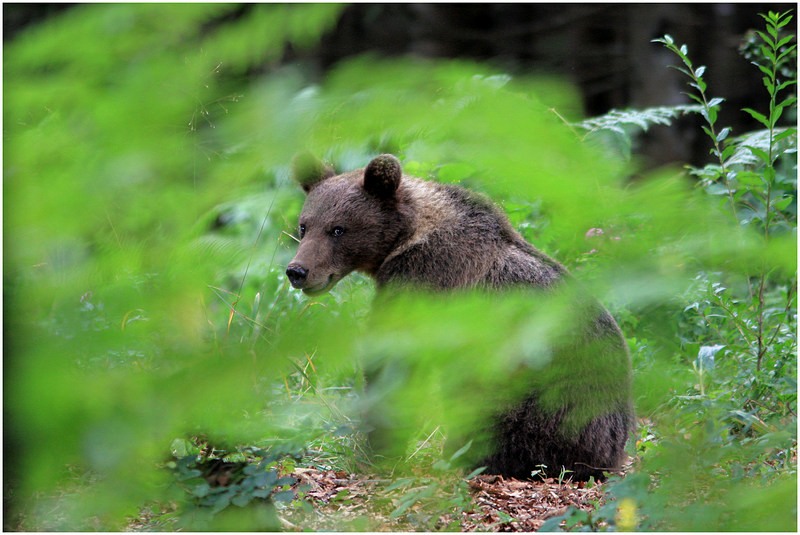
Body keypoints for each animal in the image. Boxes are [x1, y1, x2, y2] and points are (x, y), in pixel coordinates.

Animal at [286, 152, 632, 482]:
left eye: (338, 229)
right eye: (304, 226)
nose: (297, 271)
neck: (405, 238)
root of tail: (613, 453)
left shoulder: (424, 278)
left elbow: (396, 363)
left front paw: (374, 452)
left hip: (544, 388)